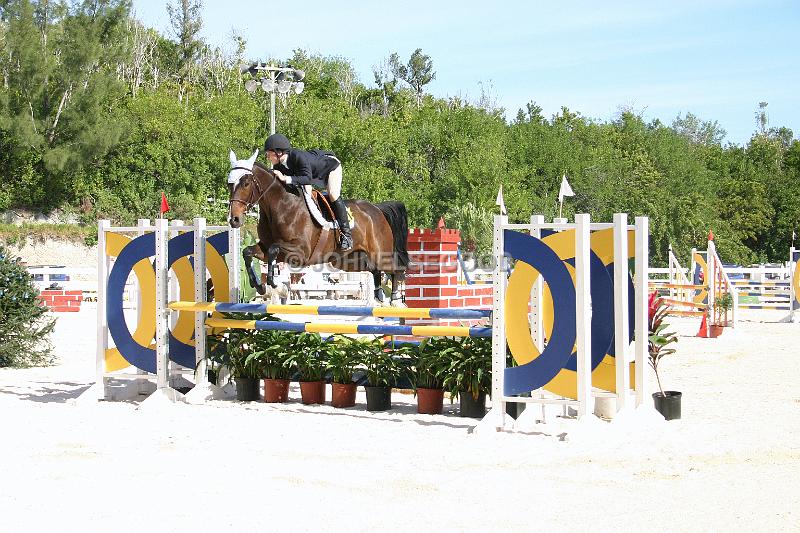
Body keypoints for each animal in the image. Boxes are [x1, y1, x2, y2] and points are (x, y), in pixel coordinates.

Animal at [227, 150, 410, 306]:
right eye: (229, 184)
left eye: (246, 183)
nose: (234, 220)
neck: (280, 206)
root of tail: (376, 209)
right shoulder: (266, 248)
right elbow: (248, 252)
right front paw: (259, 286)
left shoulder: (301, 252)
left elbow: (274, 249)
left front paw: (275, 284)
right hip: (347, 261)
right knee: (374, 269)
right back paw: (379, 294)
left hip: (379, 253)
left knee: (395, 268)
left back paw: (395, 299)